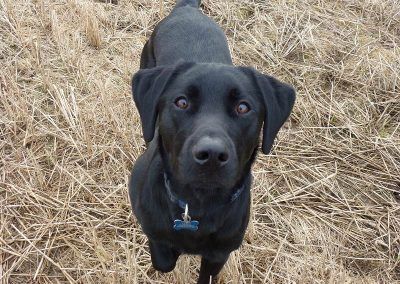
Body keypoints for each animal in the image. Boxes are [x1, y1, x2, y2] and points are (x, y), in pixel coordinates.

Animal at [130, 1, 296, 282]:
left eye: (243, 107)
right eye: (181, 102)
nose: (211, 154)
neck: (199, 205)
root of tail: (186, 9)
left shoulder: (220, 253)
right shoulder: (152, 228)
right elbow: (164, 260)